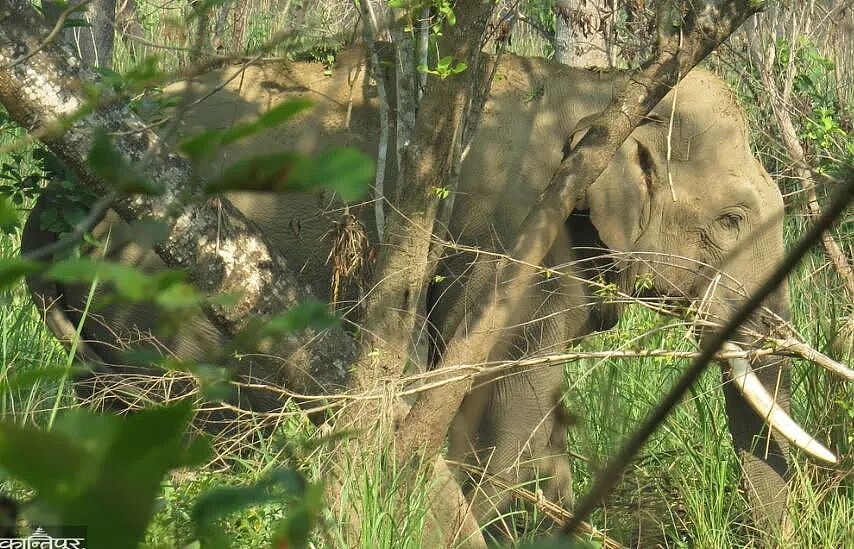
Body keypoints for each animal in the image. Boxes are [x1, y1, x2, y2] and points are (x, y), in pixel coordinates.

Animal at [21, 48, 837, 537]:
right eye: (730, 219)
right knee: (203, 425)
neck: (606, 88)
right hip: (161, 293)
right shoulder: (511, 239)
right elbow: (510, 402)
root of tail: (50, 209)